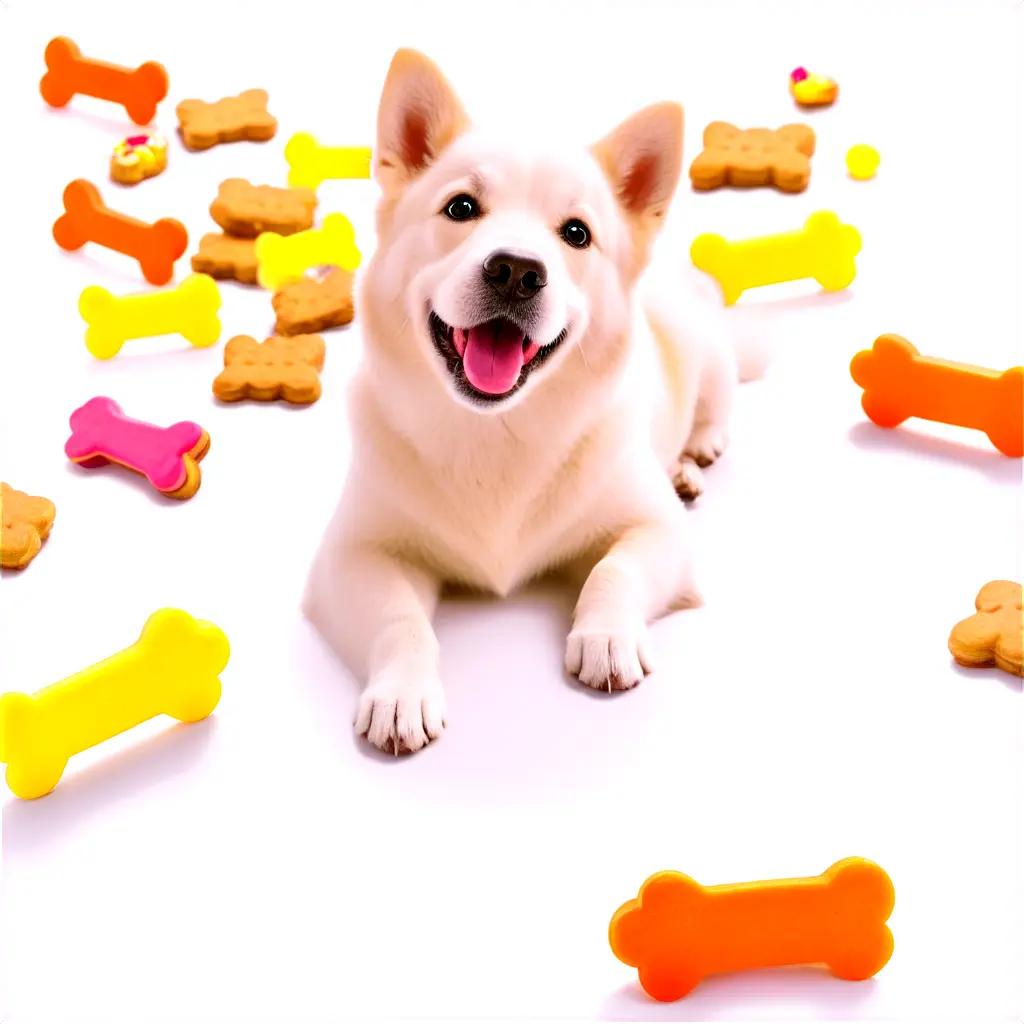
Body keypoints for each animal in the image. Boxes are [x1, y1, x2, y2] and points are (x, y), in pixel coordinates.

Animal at [303, 49, 745, 753]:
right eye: (461, 207)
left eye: (577, 233)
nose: (515, 270)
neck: (495, 433)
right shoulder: (351, 558)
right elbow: (400, 620)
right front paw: (401, 692)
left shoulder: (658, 533)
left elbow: (614, 571)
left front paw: (606, 636)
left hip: (703, 349)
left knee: (713, 405)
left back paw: (691, 457)